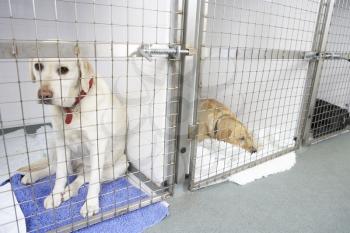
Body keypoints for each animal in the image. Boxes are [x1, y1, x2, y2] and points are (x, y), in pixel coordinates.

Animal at [22, 58, 129, 217]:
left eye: (63, 70)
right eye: (38, 66)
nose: (43, 95)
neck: (72, 109)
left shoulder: (97, 146)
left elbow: (94, 181)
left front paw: (90, 204)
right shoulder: (61, 142)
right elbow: (60, 174)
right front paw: (55, 196)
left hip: (119, 165)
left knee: (84, 177)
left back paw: (69, 191)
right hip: (54, 144)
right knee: (55, 168)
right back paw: (33, 176)